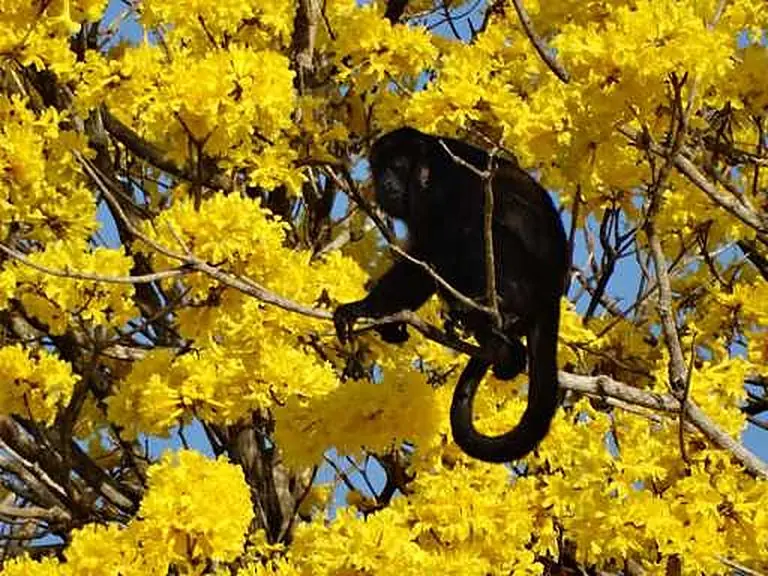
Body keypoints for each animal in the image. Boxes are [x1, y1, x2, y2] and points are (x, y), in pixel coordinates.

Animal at [333, 127, 568, 463]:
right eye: (379, 168)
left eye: (397, 166)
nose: (384, 184)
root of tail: (552, 292)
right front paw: (382, 318)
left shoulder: (433, 185)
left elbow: (434, 248)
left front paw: (362, 309)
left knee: (478, 231)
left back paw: (499, 310)